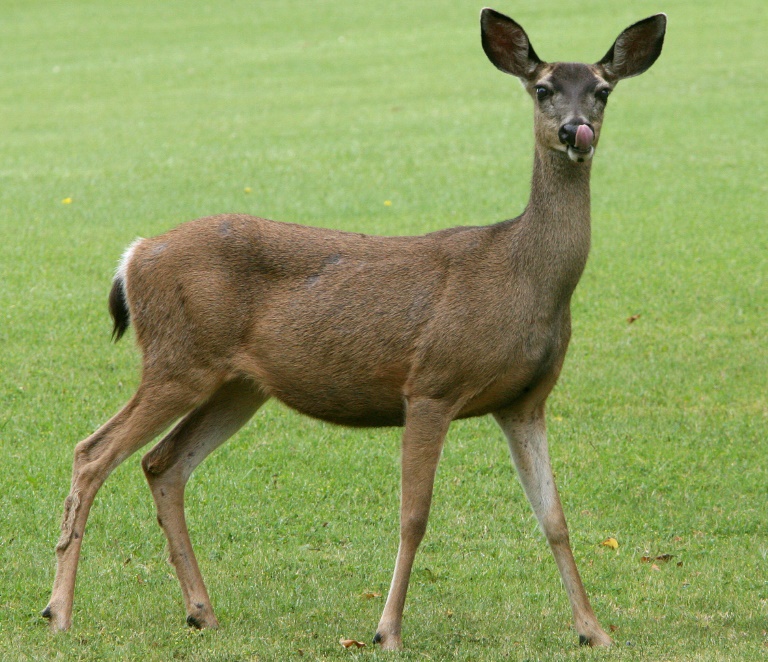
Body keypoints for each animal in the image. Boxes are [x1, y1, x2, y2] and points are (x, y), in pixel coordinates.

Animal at [42, 7, 664, 652]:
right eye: (542, 88)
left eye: (602, 90)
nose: (575, 131)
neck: (523, 278)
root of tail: (134, 255)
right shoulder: (432, 383)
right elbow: (415, 515)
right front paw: (387, 630)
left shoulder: (526, 401)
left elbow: (555, 518)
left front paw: (594, 630)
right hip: (178, 359)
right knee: (93, 452)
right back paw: (59, 612)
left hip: (237, 385)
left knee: (161, 464)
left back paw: (201, 611)